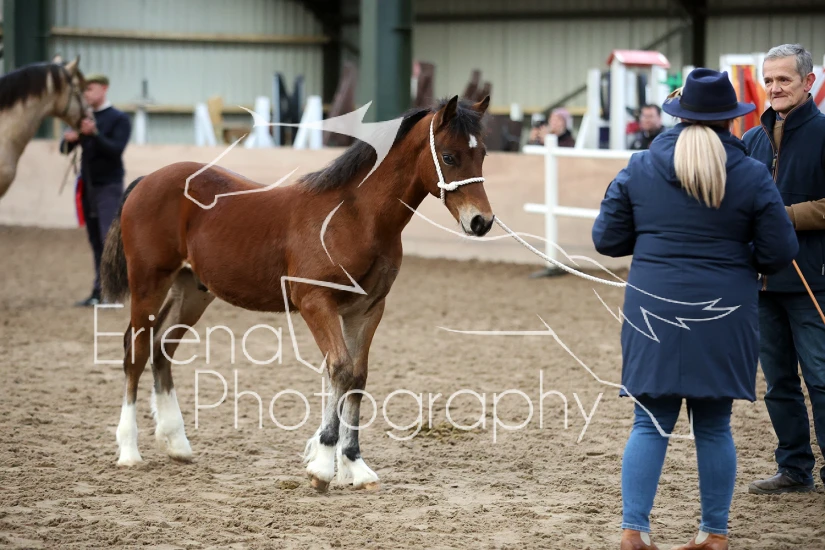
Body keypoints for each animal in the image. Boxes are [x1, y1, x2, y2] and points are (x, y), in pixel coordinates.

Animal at [99, 95, 494, 491]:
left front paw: (354, 465)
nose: (482, 222)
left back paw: (177, 443)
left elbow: (357, 377)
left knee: (162, 347)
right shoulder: (316, 303)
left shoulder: (367, 309)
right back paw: (129, 451)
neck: (354, 217)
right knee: (135, 350)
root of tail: (146, 181)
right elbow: (340, 370)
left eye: (483, 154)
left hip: (193, 290)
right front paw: (322, 466)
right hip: (149, 283)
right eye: (449, 156)